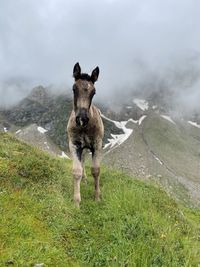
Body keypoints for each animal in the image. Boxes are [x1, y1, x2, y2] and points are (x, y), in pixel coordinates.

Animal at [67, 62, 104, 207]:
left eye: (94, 92)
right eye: (74, 88)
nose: (82, 119)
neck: (84, 128)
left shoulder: (97, 145)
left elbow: (96, 170)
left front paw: (97, 197)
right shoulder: (74, 144)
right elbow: (76, 170)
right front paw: (76, 202)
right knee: (82, 162)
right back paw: (84, 179)